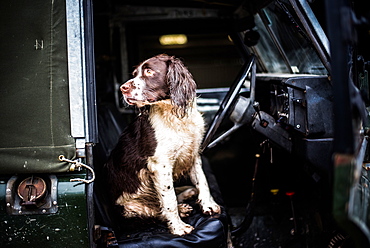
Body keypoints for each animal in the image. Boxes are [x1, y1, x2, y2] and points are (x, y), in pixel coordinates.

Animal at [105, 54, 220, 236]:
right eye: (135, 74)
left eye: (149, 72)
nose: (123, 88)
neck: (175, 117)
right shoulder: (160, 164)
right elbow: (169, 200)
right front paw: (178, 227)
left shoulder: (193, 153)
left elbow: (202, 181)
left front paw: (208, 205)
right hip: (131, 208)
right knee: (156, 212)